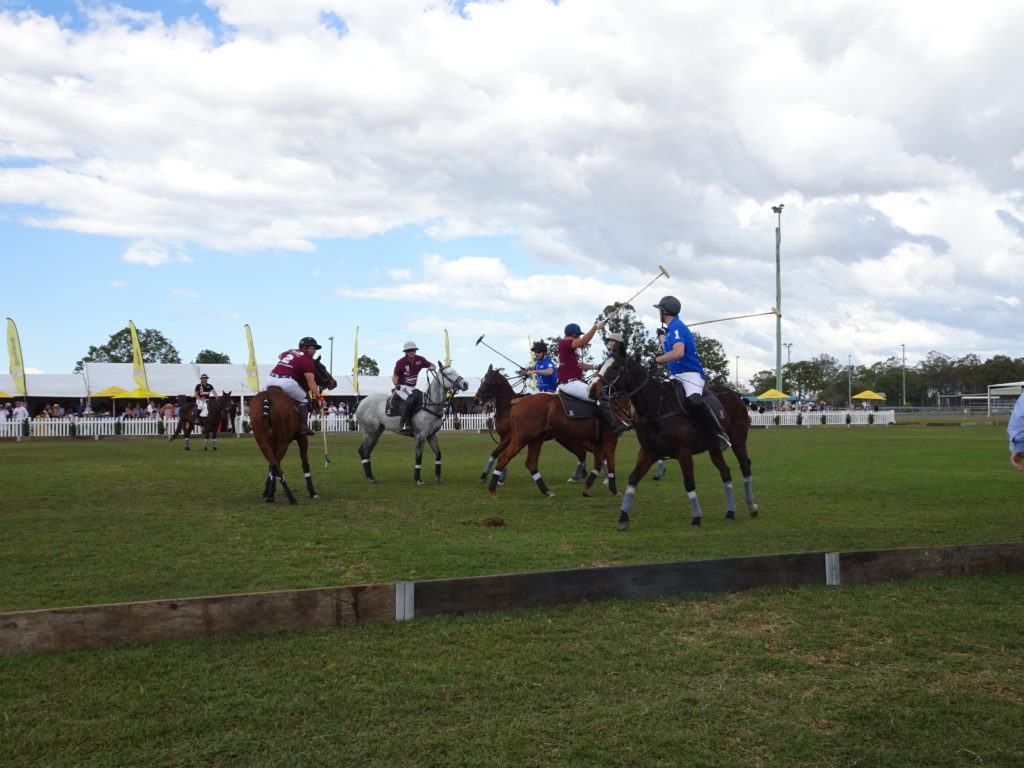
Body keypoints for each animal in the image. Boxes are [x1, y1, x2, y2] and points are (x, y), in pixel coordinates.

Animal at [249, 360, 337, 505]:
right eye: (322, 368)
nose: (334, 383)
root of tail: (267, 399)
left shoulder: (271, 441)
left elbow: (270, 465)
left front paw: (268, 491)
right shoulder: (302, 438)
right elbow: (305, 464)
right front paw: (312, 492)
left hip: (261, 440)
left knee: (274, 464)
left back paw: (272, 495)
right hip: (283, 440)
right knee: (277, 466)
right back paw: (290, 497)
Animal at [483, 376, 626, 499]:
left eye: (489, 381)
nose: (479, 399)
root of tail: (517, 403)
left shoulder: (601, 441)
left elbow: (602, 462)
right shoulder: (610, 439)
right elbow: (610, 462)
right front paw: (613, 490)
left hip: (538, 439)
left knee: (530, 462)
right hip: (529, 438)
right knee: (508, 458)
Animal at [589, 354, 757, 528]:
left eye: (616, 366)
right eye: (602, 365)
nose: (592, 390)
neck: (657, 407)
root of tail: (737, 396)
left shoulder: (683, 452)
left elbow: (689, 483)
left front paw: (696, 518)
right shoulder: (649, 452)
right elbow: (633, 478)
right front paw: (623, 517)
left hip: (738, 441)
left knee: (745, 466)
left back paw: (752, 506)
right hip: (714, 448)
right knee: (726, 472)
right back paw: (730, 512)